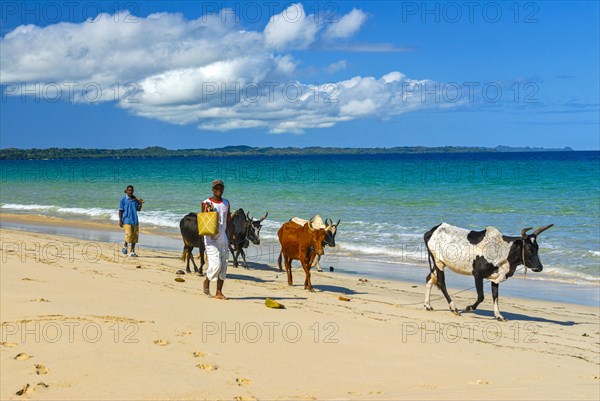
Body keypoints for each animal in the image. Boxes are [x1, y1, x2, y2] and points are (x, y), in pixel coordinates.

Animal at [422, 220, 552, 320]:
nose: (540, 267)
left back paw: (428, 305)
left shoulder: (496, 277)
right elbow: (481, 296)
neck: (503, 250)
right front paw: (469, 308)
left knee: (429, 278)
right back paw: (454, 308)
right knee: (441, 283)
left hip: (439, 263)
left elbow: (496, 297)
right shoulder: (477, 275)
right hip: (438, 262)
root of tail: (432, 230)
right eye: (529, 249)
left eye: (537, 248)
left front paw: (499, 316)